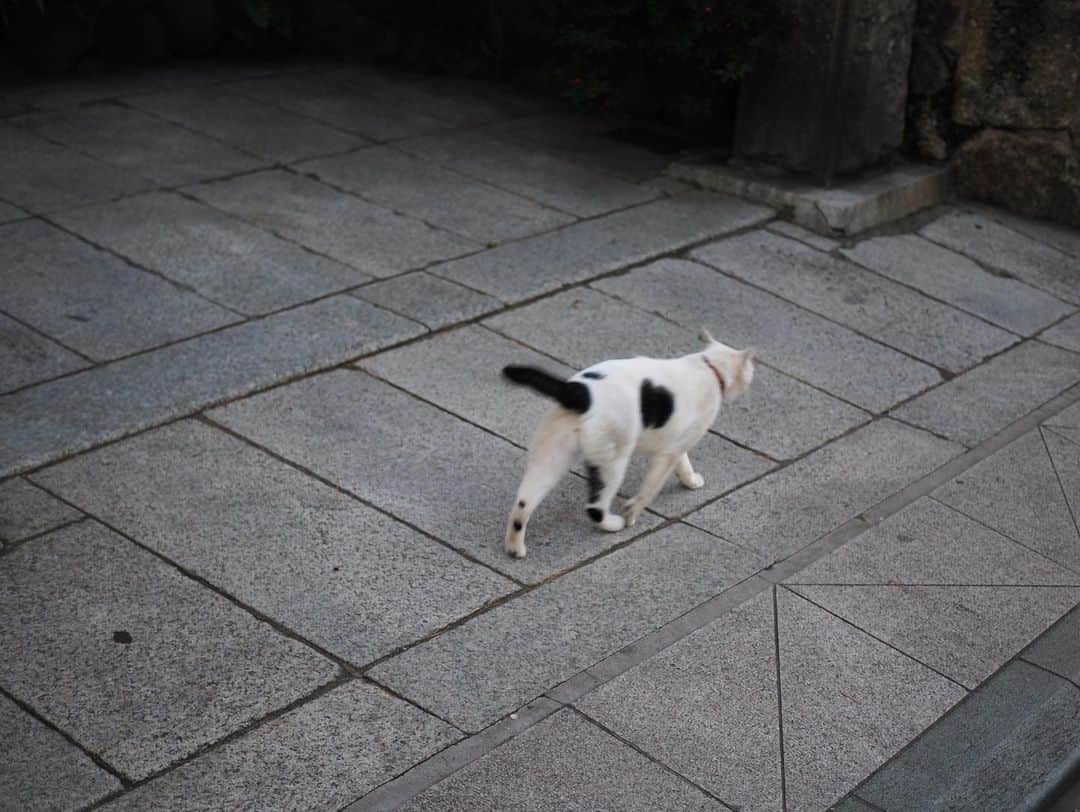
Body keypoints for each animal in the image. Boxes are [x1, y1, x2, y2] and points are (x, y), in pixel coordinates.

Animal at [496, 330, 751, 557]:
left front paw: (689, 480)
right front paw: (632, 514)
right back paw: (613, 524)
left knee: (522, 504)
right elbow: (650, 488)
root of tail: (580, 392)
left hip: (550, 459)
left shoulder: (675, 442)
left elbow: (682, 463)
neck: (709, 367)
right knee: (595, 508)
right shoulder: (671, 450)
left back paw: (514, 548)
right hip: (612, 461)